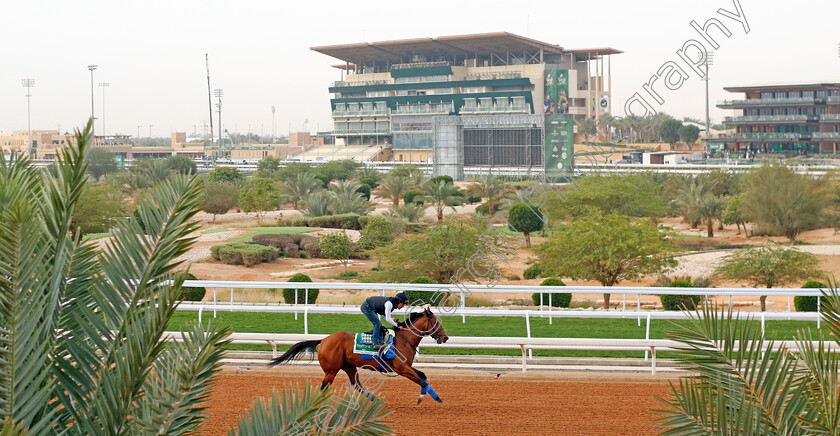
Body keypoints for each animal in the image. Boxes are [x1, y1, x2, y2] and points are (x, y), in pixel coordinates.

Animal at [272, 306, 450, 406]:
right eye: (436, 323)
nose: (445, 337)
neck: (404, 339)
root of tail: (323, 340)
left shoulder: (407, 367)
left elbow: (423, 375)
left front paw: (424, 397)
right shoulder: (401, 369)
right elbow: (421, 380)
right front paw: (437, 400)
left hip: (349, 366)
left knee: (357, 385)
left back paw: (376, 401)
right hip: (331, 370)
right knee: (324, 387)